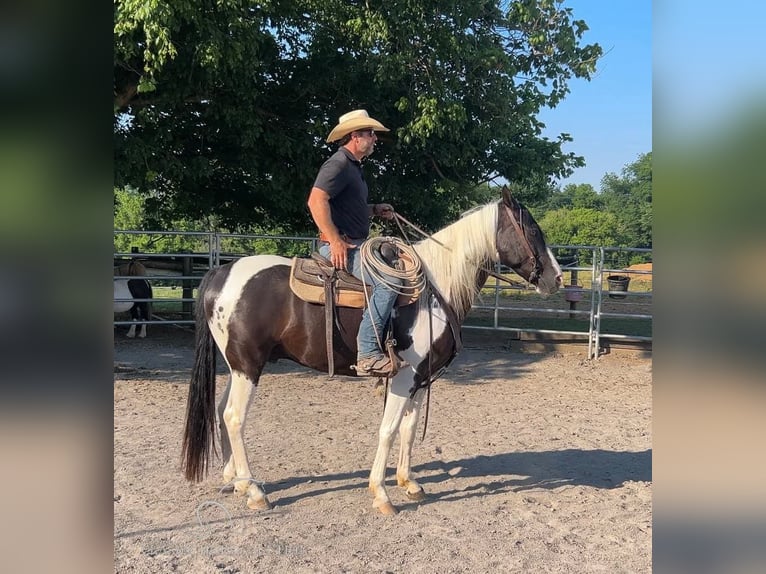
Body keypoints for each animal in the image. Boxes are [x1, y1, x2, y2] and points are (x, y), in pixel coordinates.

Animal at [181, 186, 564, 516]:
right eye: (532, 229)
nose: (557, 279)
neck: (435, 289)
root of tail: (220, 272)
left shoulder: (421, 379)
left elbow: (409, 428)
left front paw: (409, 483)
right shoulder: (404, 376)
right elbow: (388, 429)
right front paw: (381, 493)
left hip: (239, 366)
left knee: (221, 411)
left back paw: (236, 482)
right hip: (248, 365)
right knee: (234, 416)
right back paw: (254, 491)